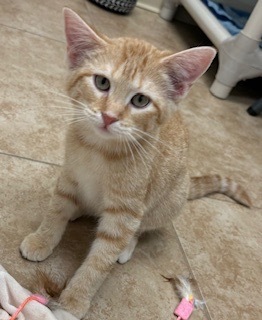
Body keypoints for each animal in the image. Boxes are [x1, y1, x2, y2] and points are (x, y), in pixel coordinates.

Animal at [19, 8, 251, 318]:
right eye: (102, 82)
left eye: (140, 100)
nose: (109, 117)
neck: (99, 150)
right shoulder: (69, 175)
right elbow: (56, 209)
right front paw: (42, 239)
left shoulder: (126, 210)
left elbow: (101, 259)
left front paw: (74, 301)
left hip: (168, 202)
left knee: (141, 228)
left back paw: (127, 246)